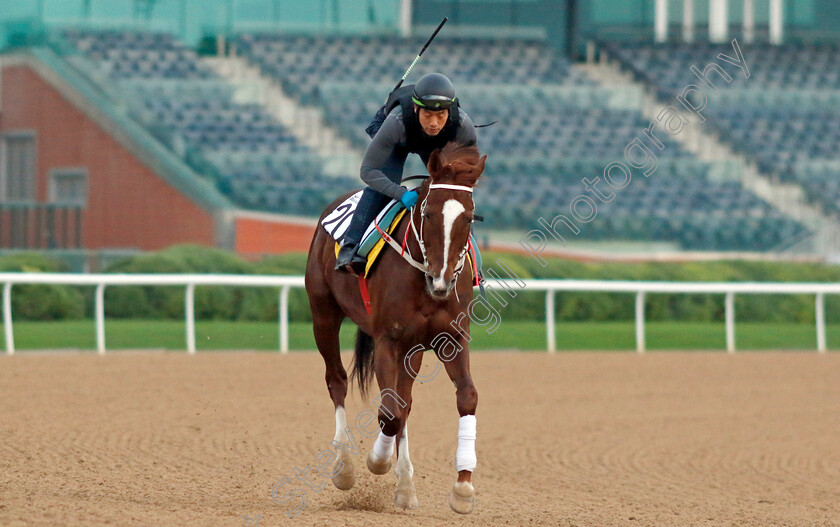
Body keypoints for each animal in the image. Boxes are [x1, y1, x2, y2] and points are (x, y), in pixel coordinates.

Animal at [304, 142, 486, 512]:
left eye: (469, 217)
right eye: (428, 214)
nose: (442, 280)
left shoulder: (451, 339)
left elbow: (466, 397)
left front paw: (462, 486)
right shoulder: (388, 340)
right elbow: (389, 413)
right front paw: (377, 461)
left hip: (412, 350)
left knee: (405, 401)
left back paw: (405, 487)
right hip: (323, 315)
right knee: (337, 381)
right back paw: (345, 467)